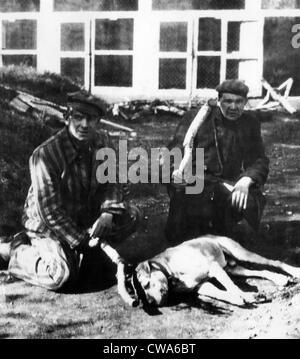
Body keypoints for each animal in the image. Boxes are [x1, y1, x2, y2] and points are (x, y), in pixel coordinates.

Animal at [134, 235, 300, 308]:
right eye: (141, 292)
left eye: (146, 284)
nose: (150, 303)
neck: (171, 271)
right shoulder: (201, 285)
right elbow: (222, 294)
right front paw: (239, 299)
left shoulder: (213, 268)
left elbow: (232, 287)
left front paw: (247, 296)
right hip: (232, 269)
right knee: (261, 271)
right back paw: (280, 279)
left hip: (240, 253)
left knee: (274, 262)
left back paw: (295, 271)